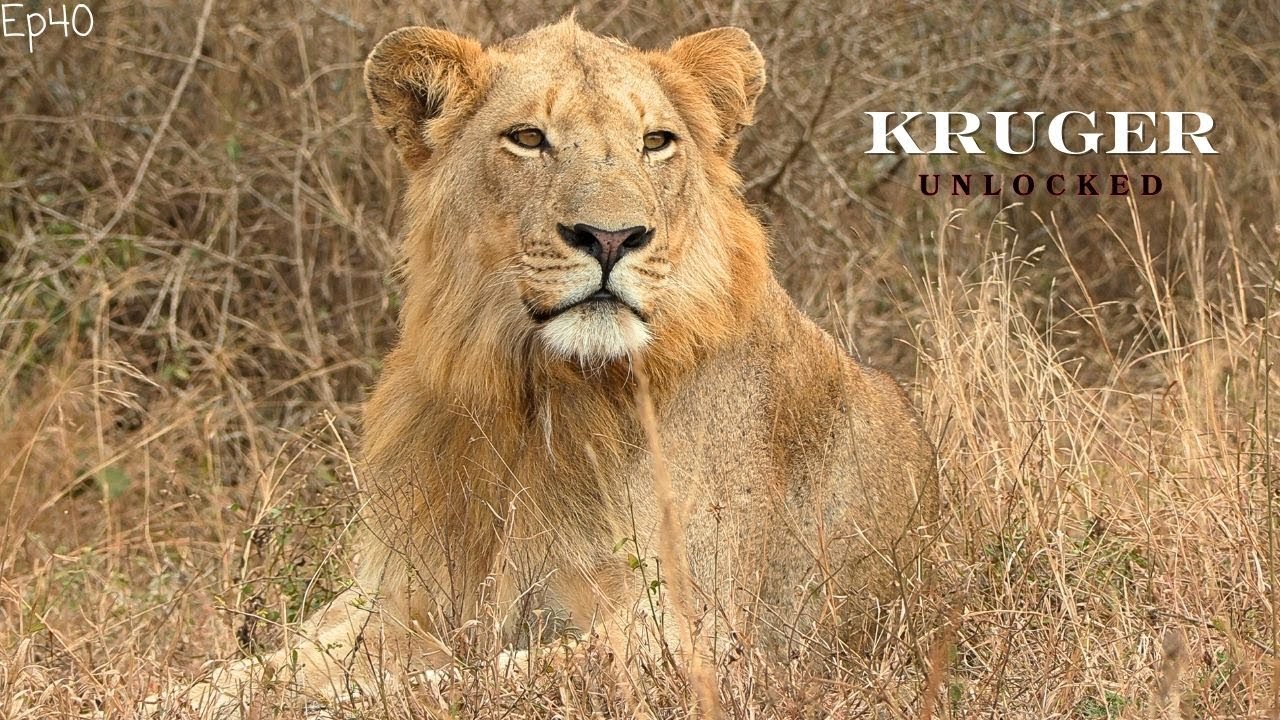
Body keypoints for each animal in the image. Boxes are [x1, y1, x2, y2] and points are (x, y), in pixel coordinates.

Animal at [172, 17, 937, 716]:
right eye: (528, 138)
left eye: (655, 142)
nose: (611, 237)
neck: (538, 391)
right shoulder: (395, 599)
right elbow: (252, 674)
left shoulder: (691, 632)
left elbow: (444, 686)